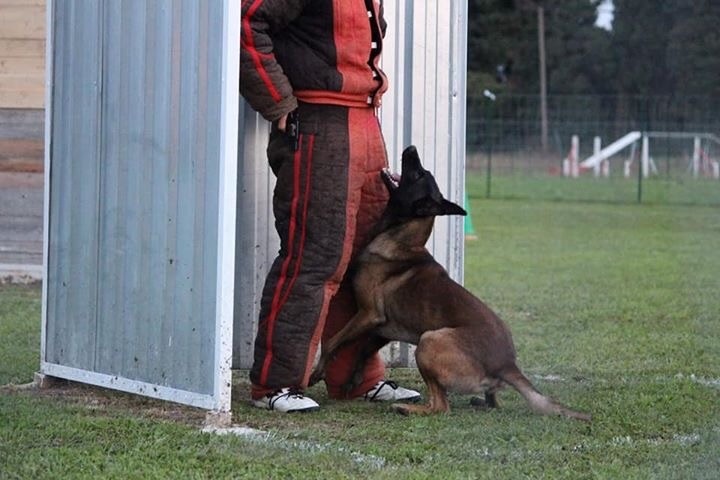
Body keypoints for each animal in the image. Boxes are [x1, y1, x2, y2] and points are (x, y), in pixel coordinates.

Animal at [310, 146, 592, 420]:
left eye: (418, 174)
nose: (411, 148)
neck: (401, 239)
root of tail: (507, 365)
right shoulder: (384, 328)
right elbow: (363, 351)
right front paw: (354, 380)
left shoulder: (370, 315)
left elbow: (333, 341)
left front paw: (316, 373)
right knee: (493, 404)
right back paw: (479, 402)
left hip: (429, 341)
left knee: (441, 406)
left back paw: (406, 409)